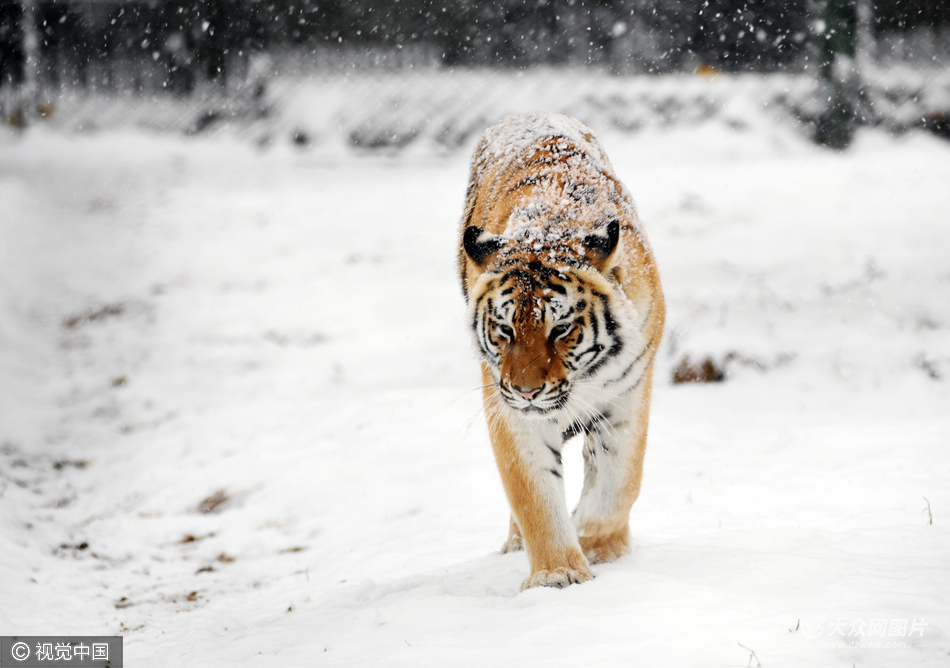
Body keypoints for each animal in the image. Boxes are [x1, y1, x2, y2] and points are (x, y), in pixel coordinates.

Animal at [458, 113, 664, 588]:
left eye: (561, 329)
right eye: (504, 330)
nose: (528, 391)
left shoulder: (627, 398)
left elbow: (618, 484)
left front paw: (599, 545)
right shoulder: (509, 412)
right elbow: (535, 497)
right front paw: (559, 576)